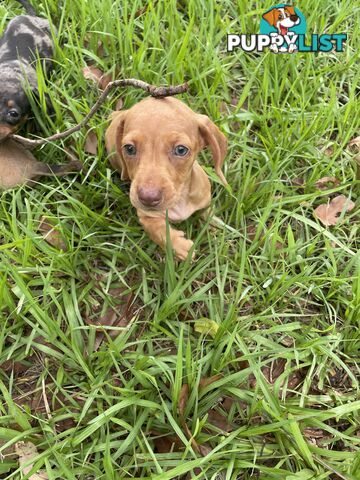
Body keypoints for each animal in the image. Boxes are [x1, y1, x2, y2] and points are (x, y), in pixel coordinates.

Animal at [105, 94, 228, 258]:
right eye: (129, 148)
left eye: (181, 150)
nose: (148, 198)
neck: (180, 199)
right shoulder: (145, 216)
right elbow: (159, 232)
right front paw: (180, 247)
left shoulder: (205, 200)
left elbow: (207, 212)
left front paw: (215, 226)